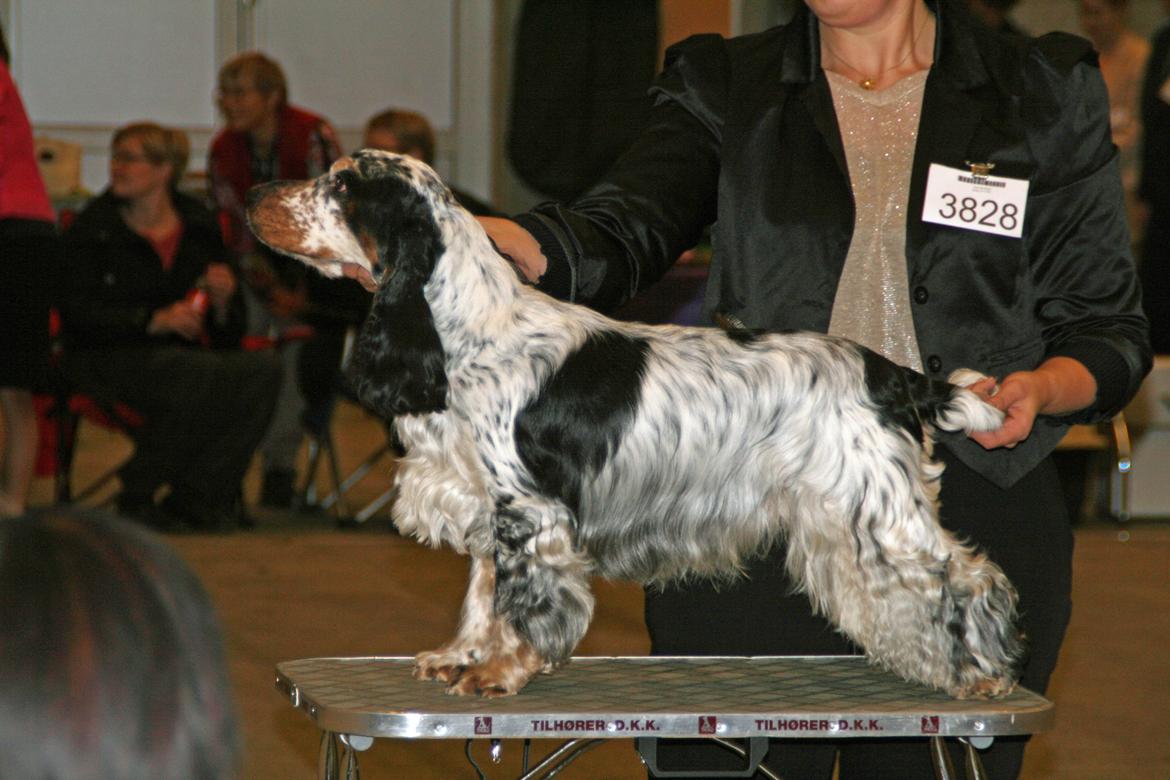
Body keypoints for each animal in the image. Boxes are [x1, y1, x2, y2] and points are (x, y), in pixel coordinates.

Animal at [249, 149, 1024, 696]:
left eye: (342, 184)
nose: (256, 196)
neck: (465, 329)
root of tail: (893, 374)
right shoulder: (484, 503)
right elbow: (481, 591)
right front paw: (460, 655)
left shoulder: (530, 510)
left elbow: (522, 597)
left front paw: (501, 671)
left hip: (876, 511)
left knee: (964, 576)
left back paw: (980, 672)